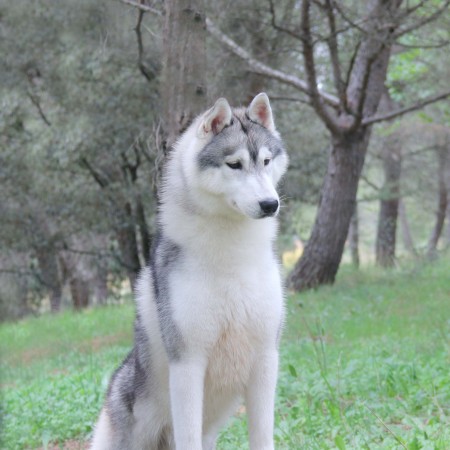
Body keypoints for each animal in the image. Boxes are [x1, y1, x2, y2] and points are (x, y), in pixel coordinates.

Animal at [91, 93, 288, 448]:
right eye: (234, 164)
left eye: (266, 161)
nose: (270, 204)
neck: (231, 255)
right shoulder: (187, 364)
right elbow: (188, 434)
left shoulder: (266, 358)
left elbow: (262, 436)